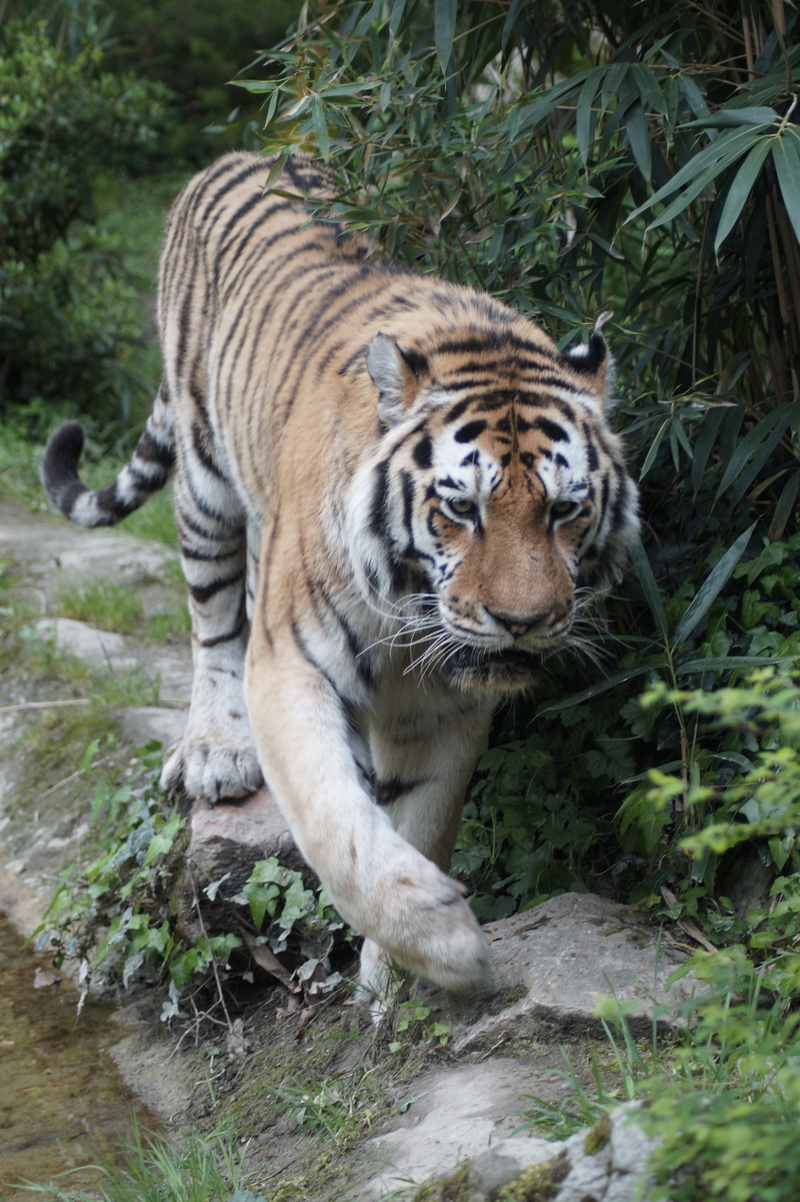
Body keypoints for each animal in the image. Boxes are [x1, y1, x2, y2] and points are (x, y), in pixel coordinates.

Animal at [42, 151, 639, 997]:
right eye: (461, 508)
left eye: (564, 510)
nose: (522, 623)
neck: (409, 612)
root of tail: (237, 155)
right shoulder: (293, 665)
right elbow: (335, 824)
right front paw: (449, 943)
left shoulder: (448, 705)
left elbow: (424, 816)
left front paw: (396, 972)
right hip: (204, 476)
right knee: (214, 623)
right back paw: (215, 747)